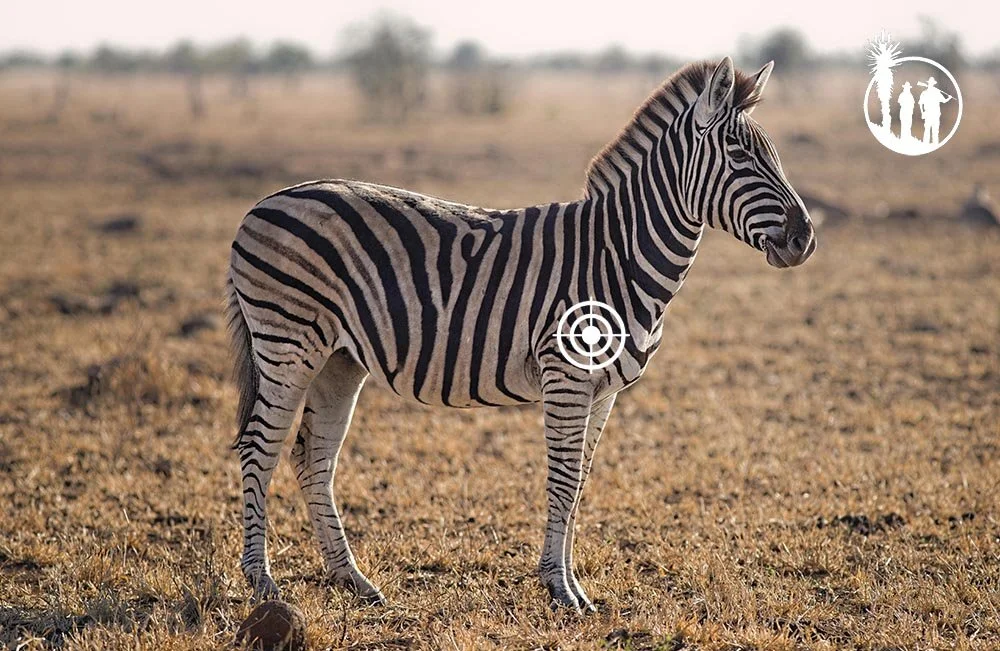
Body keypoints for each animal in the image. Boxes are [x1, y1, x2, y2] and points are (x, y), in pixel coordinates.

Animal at [226, 57, 816, 612]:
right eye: (739, 155)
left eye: (774, 155)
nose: (805, 239)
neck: (619, 254)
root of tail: (264, 203)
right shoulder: (567, 375)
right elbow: (562, 479)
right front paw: (560, 589)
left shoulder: (604, 390)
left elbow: (579, 482)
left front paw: (569, 583)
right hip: (288, 344)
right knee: (259, 447)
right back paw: (262, 581)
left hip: (339, 360)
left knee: (312, 456)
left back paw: (352, 579)